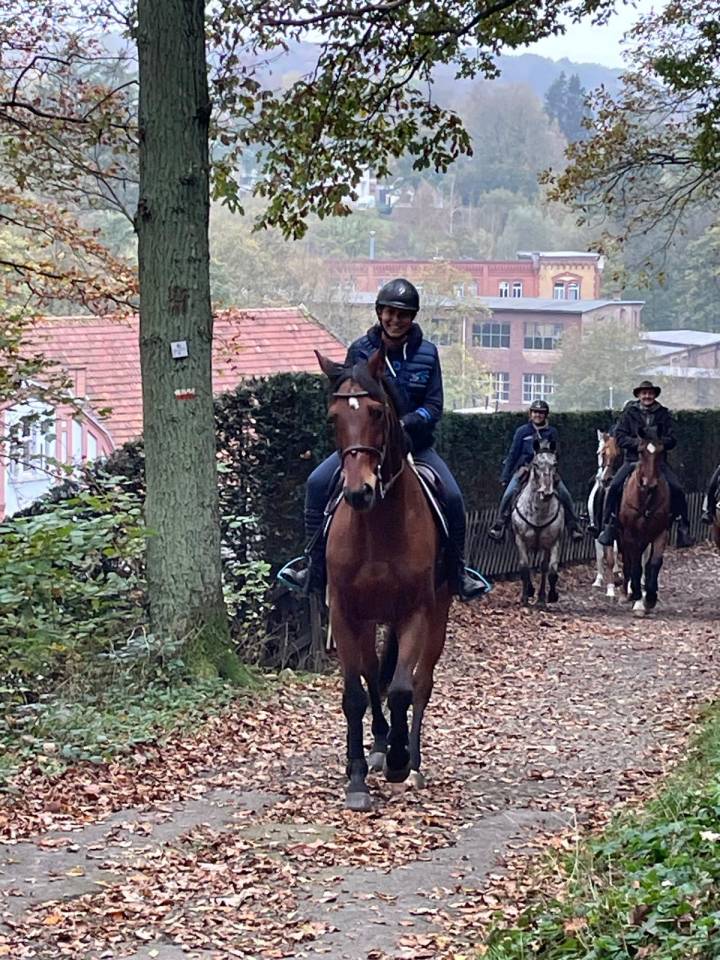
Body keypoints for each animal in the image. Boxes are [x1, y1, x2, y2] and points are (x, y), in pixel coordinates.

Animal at [315, 348, 451, 811]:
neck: (377, 527)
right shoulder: (344, 612)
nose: (359, 492)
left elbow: (402, 690)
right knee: (374, 673)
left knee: (420, 683)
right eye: (333, 416)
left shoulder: (416, 613)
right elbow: (357, 693)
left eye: (376, 411)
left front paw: (397, 759)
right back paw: (376, 745)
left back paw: (411, 759)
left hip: (437, 616)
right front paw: (357, 777)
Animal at [511, 438, 565, 605]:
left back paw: (541, 597)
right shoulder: (520, 540)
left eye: (555, 463)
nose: (546, 493)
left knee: (544, 567)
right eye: (535, 464)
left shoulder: (553, 542)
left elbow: (552, 571)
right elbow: (524, 568)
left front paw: (551, 596)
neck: (538, 513)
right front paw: (525, 597)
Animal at [617, 431, 671, 617]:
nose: (650, 484)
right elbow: (635, 565)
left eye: (661, 452)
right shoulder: (630, 535)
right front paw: (639, 601)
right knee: (628, 562)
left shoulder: (661, 533)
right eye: (640, 452)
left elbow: (654, 563)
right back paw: (627, 593)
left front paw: (650, 598)